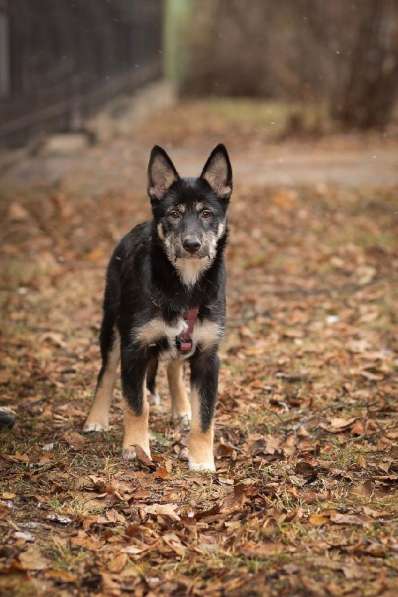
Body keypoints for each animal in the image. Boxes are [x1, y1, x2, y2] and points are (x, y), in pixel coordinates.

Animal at [84, 143, 233, 470]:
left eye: (207, 213)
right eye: (174, 214)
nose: (191, 244)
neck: (184, 286)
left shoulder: (207, 355)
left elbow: (205, 417)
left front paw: (201, 461)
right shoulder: (134, 348)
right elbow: (136, 406)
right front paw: (136, 448)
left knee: (174, 366)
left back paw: (182, 407)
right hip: (112, 327)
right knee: (106, 373)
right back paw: (95, 419)